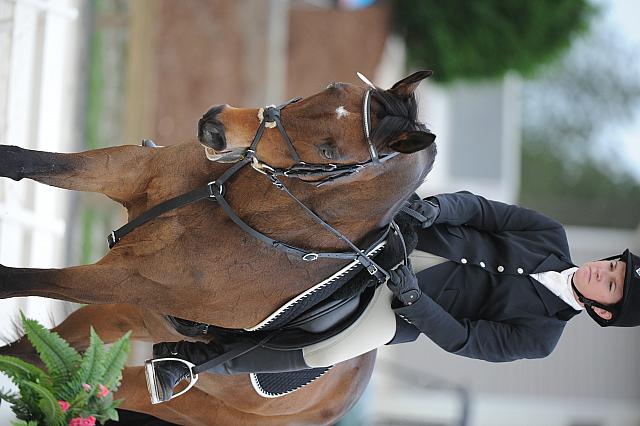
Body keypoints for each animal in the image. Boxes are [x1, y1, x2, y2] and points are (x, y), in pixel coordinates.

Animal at [0, 71, 438, 424]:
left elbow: (21, 280)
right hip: (130, 316)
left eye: (330, 151)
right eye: (333, 87)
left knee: (76, 384)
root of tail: (349, 393)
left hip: (165, 389)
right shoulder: (127, 172)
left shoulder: (126, 280)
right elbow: (31, 163)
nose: (214, 127)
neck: (238, 206)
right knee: (38, 355)